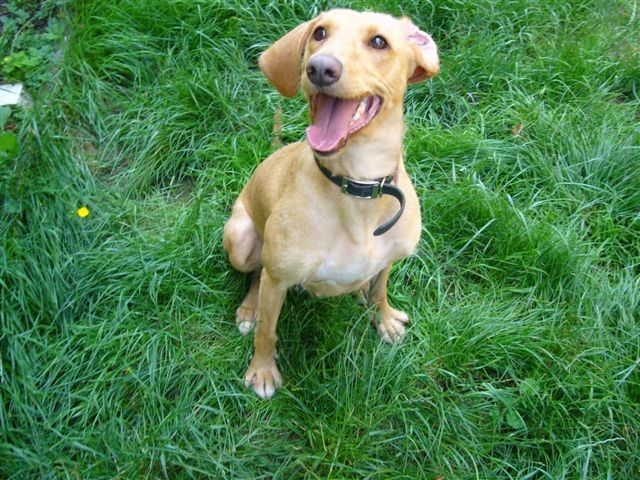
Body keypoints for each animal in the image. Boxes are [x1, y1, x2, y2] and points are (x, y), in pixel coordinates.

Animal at [223, 9, 439, 398]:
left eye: (379, 41)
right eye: (320, 33)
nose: (320, 68)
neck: (358, 187)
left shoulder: (388, 260)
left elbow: (381, 290)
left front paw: (384, 319)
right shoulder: (278, 279)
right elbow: (267, 332)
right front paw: (261, 371)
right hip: (242, 239)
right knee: (256, 274)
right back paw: (249, 309)